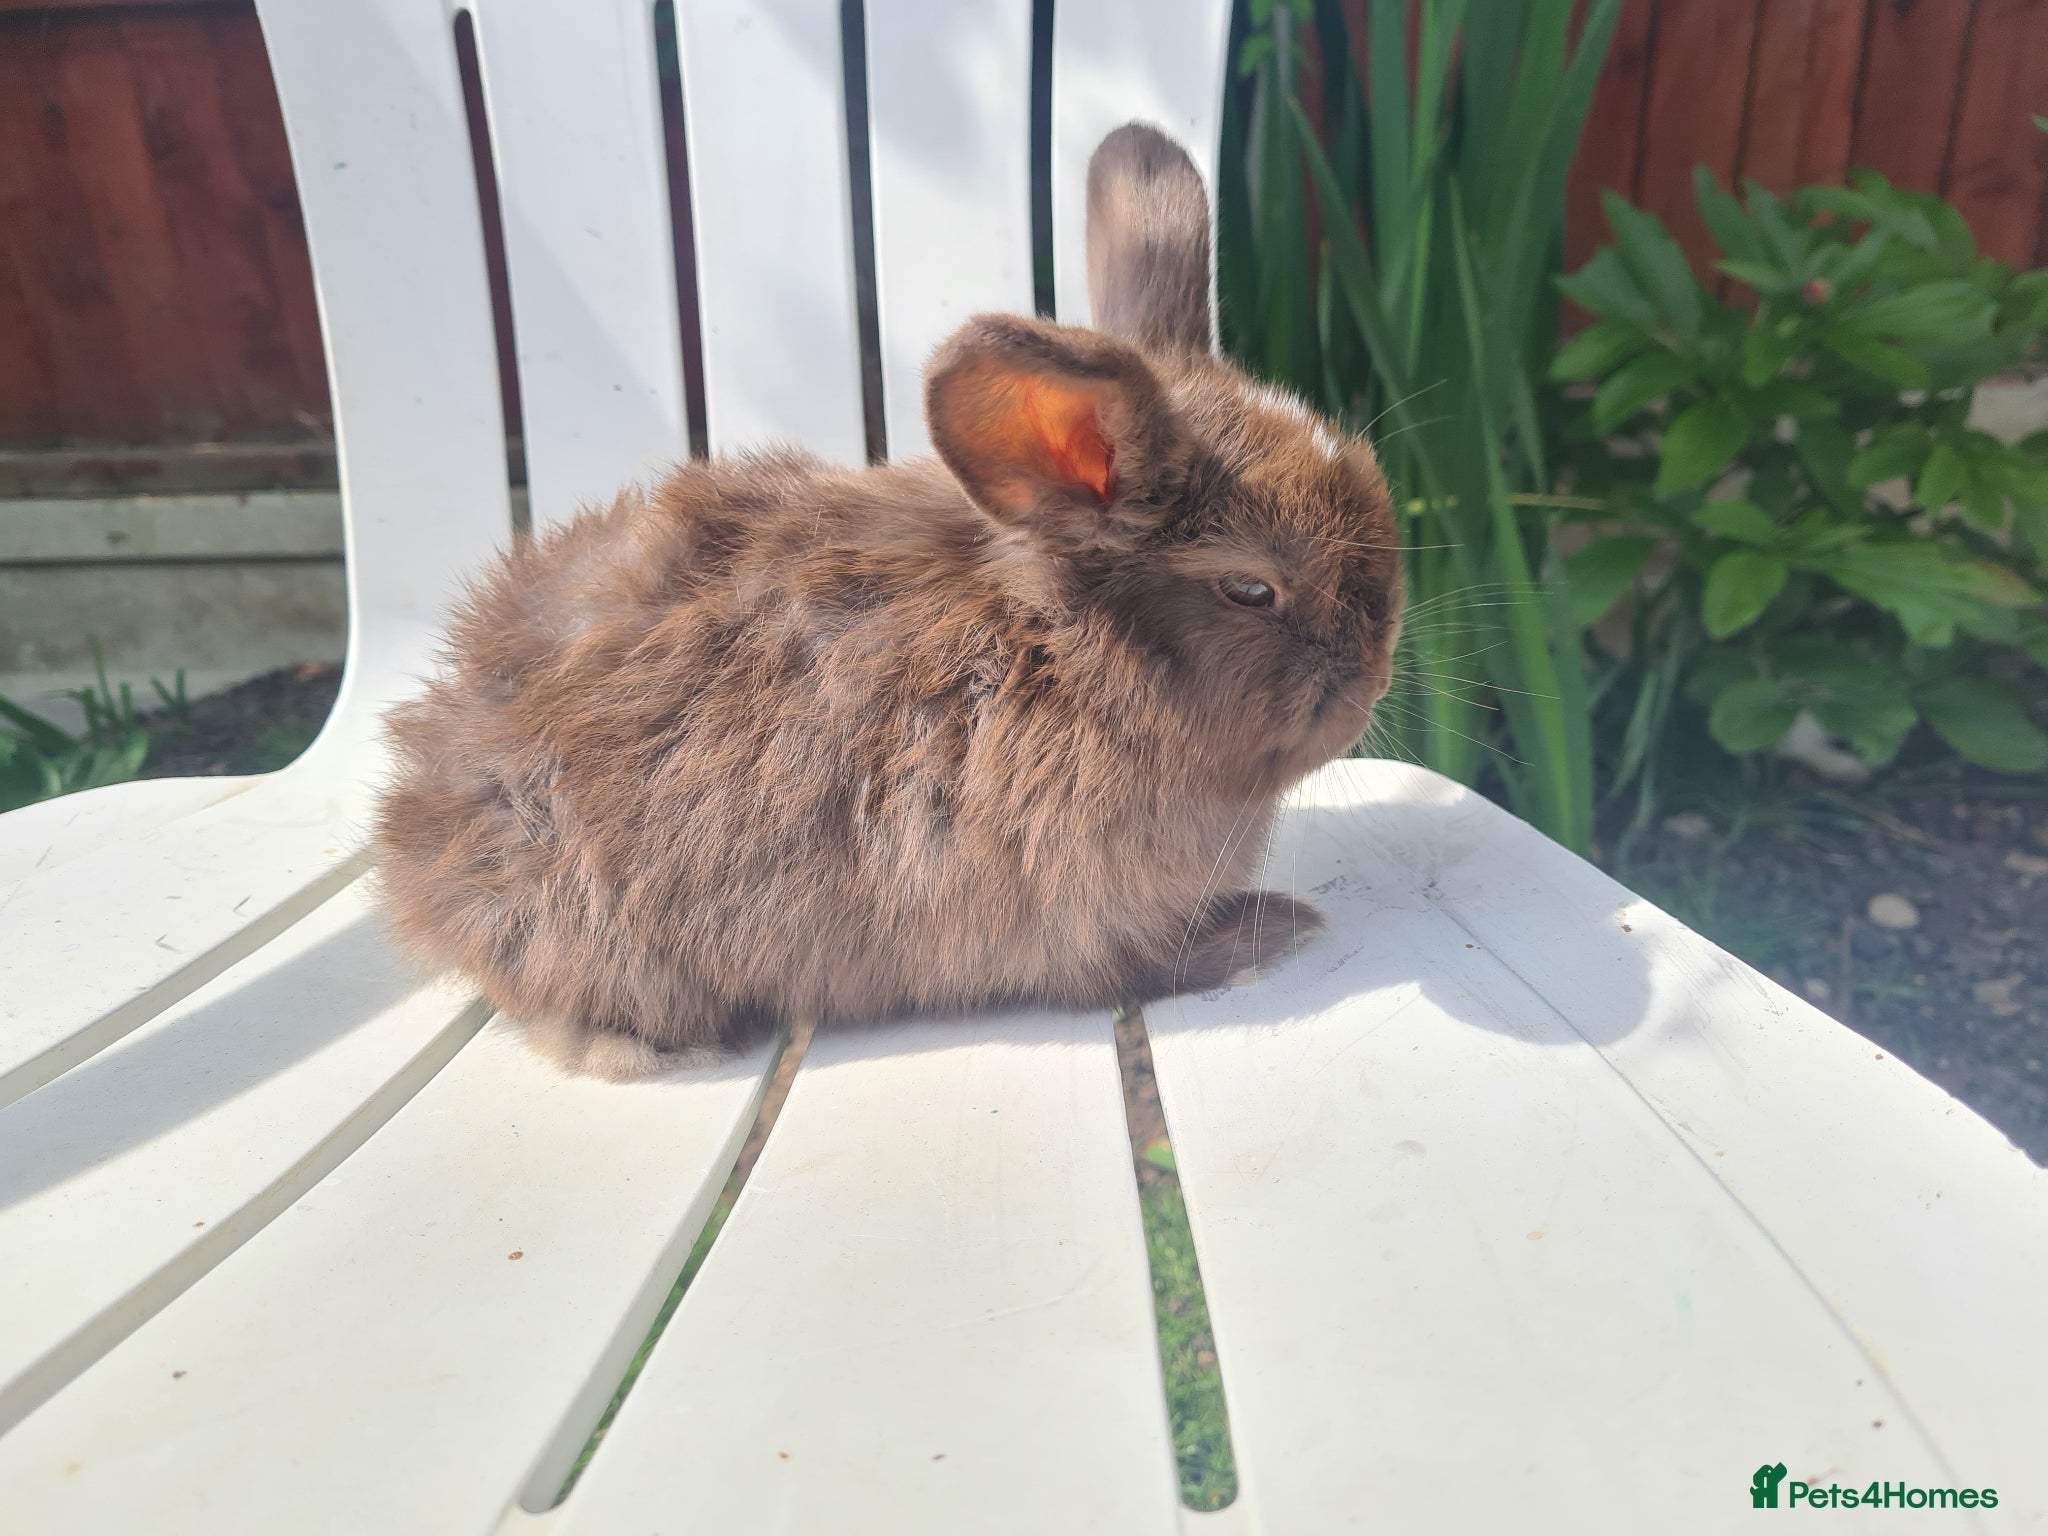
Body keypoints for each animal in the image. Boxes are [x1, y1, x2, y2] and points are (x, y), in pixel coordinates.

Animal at [371, 121, 1402, 1079]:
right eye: (1251, 588)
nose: (1374, 680)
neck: (1066, 654)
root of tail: (417, 838)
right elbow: (1135, 966)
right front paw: (1271, 930)